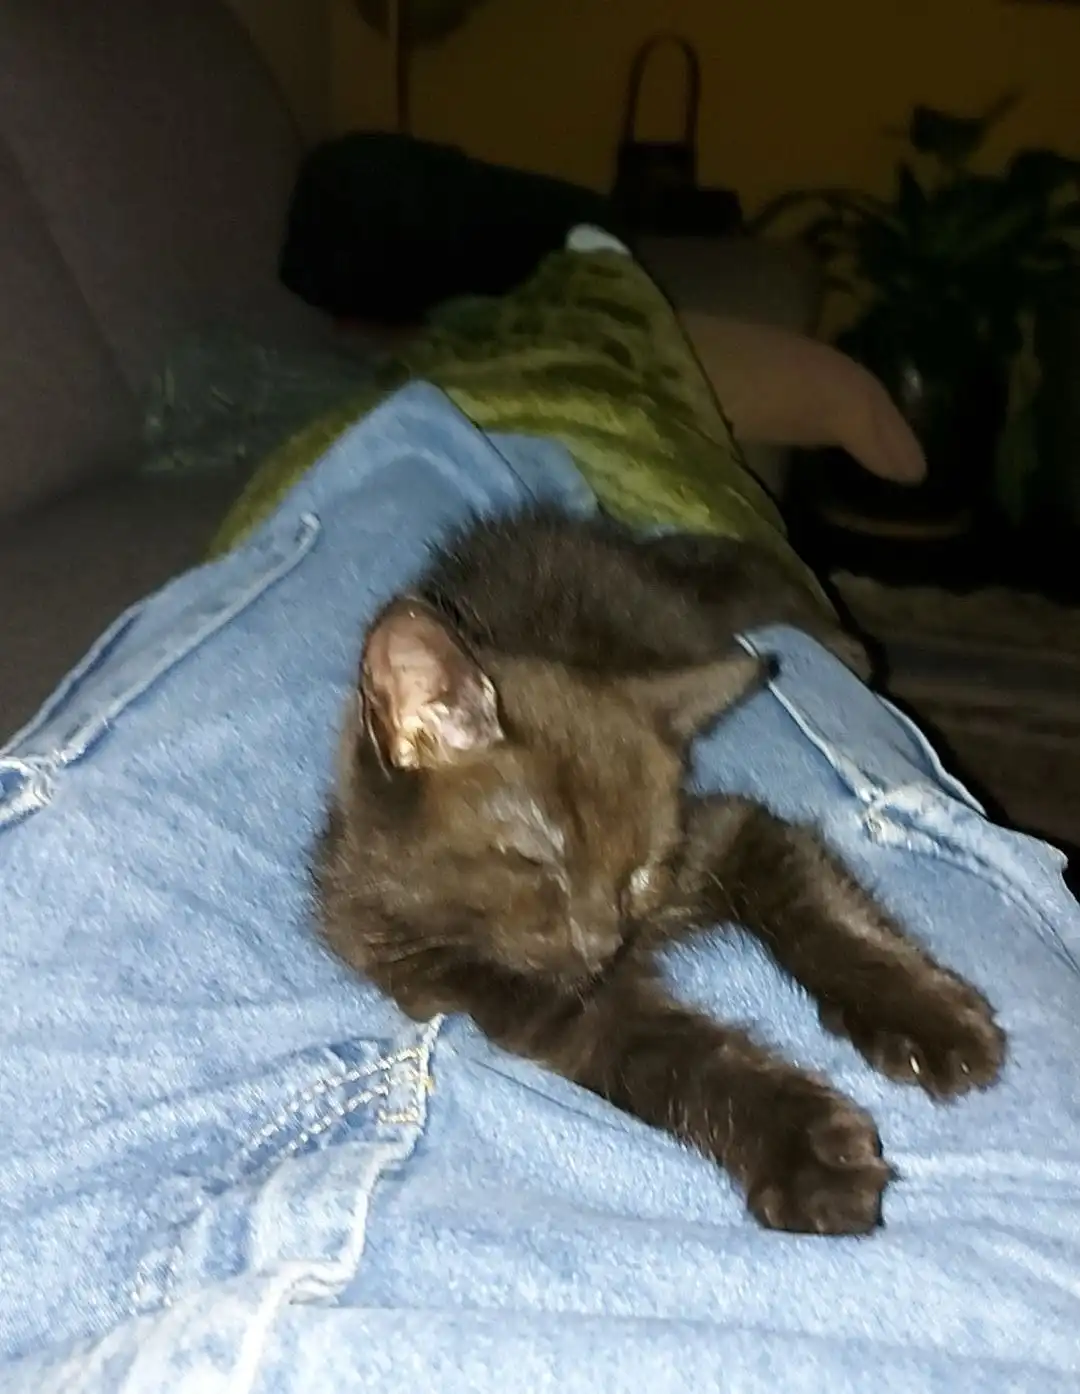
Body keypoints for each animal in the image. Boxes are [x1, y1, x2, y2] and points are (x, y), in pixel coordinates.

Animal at [314, 509, 1005, 1234]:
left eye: (641, 870)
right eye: (540, 856)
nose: (603, 940)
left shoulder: (730, 833)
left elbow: (821, 909)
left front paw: (929, 1017)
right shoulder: (526, 1004)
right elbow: (681, 1060)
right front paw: (809, 1154)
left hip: (675, 620)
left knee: (739, 583)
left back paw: (841, 646)